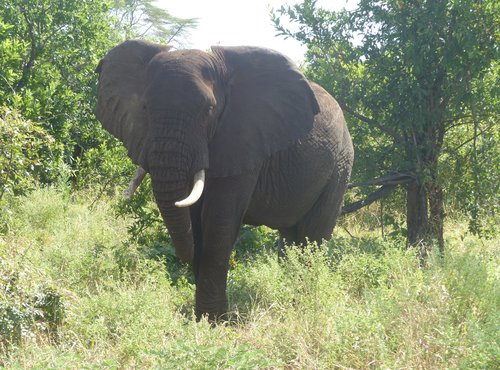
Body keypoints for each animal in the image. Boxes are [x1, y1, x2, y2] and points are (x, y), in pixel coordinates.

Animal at [93, 39, 352, 320]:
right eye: (145, 108)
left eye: (209, 110)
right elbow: (194, 218)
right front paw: (204, 318)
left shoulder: (244, 137)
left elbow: (218, 219)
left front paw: (213, 321)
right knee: (291, 238)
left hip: (340, 166)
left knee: (312, 236)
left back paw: (300, 302)